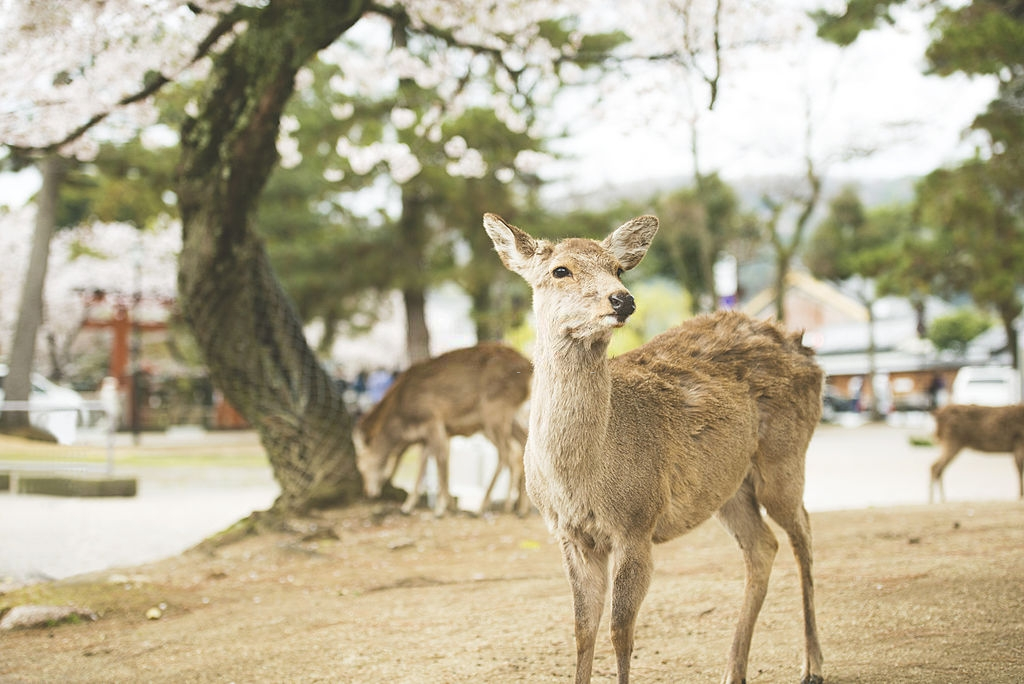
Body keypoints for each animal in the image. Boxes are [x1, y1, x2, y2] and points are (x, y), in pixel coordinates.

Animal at [354, 344, 532, 516]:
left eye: (361, 466)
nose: (367, 492)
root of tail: (528, 368)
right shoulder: (427, 435)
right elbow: (424, 464)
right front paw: (407, 507)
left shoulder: (433, 420)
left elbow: (440, 459)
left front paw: (443, 508)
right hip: (512, 416)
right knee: (522, 446)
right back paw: (519, 508)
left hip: (494, 411)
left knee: (506, 453)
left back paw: (481, 508)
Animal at [483, 214, 827, 684]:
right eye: (560, 270)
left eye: (618, 268)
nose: (622, 300)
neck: (581, 477)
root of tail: (806, 350)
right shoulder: (569, 534)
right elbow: (582, 628)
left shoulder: (636, 522)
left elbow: (620, 629)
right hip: (727, 487)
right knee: (762, 547)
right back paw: (733, 671)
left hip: (785, 456)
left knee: (804, 533)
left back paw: (812, 664)